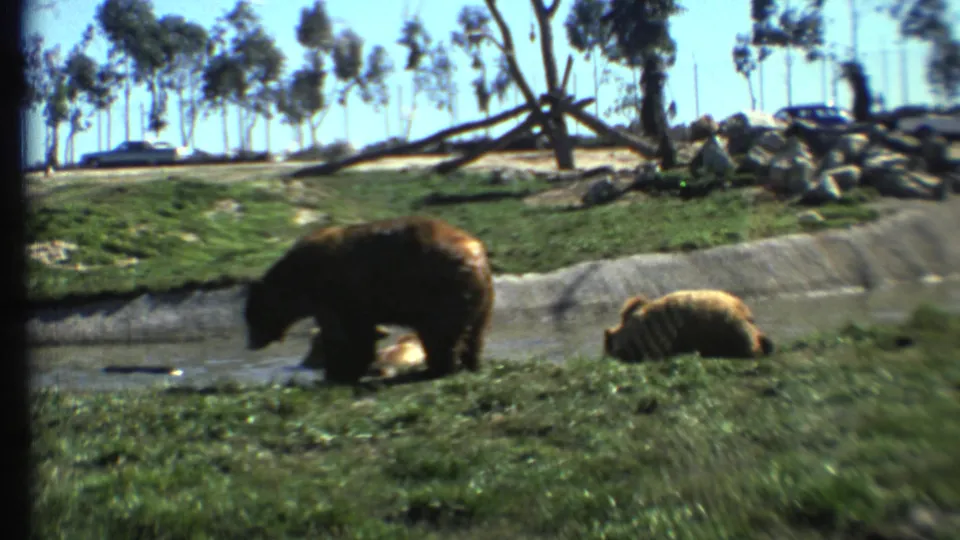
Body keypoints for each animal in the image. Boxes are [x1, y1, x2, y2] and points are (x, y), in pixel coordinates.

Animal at [244, 215, 495, 384]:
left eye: (250, 316)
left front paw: (339, 371)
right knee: (475, 333)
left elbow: (346, 334)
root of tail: (476, 252)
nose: (251, 343)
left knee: (439, 334)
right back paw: (471, 363)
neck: (299, 282)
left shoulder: (338, 292)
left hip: (439, 289)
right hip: (481, 298)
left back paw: (437, 368)